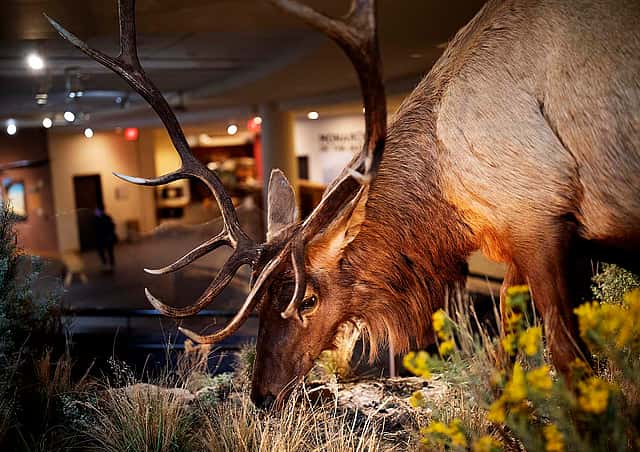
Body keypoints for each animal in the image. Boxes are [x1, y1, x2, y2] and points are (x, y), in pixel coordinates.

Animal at [48, 0, 640, 408]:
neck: (451, 204)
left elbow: (567, 360)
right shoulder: (525, 236)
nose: (261, 394)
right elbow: (505, 359)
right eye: (257, 303)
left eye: (306, 299)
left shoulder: (537, 213)